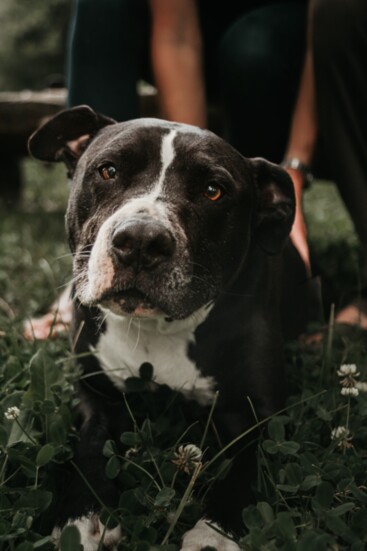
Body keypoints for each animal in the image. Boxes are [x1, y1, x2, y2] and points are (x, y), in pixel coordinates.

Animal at [28, 105, 312, 548]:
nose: (141, 241)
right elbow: (90, 442)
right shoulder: (94, 392)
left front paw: (214, 533)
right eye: (108, 171)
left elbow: (245, 471)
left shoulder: (260, 416)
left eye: (214, 190)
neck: (157, 330)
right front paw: (83, 513)